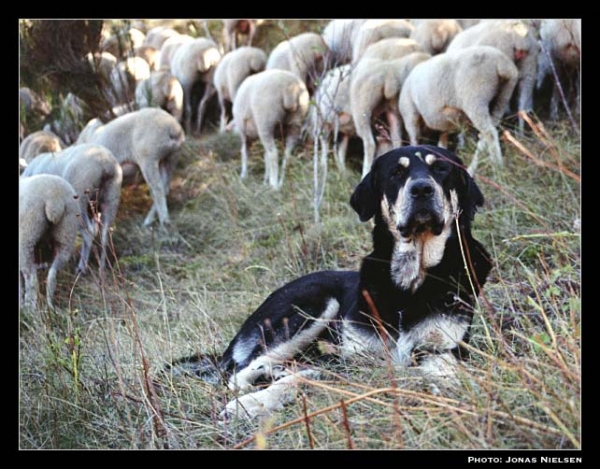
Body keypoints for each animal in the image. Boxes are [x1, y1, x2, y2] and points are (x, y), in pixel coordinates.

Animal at [19, 174, 79, 308]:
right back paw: (50, 306)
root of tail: (54, 196)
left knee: (31, 278)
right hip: (66, 234)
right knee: (53, 274)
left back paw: (29, 308)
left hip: (27, 235)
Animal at [20, 144, 123, 274]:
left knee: (88, 235)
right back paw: (102, 267)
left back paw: (82, 267)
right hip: (111, 198)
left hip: (80, 199)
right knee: (105, 236)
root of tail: (104, 163)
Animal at [170, 145, 492, 416]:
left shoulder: (444, 350)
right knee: (243, 371)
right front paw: (254, 404)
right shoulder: (354, 357)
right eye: (396, 173)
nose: (422, 188)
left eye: (440, 169)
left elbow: (443, 371)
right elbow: (308, 377)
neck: (408, 282)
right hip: (311, 305)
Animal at [398, 45, 520, 174]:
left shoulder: (410, 112)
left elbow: (415, 139)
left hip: (475, 97)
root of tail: (500, 62)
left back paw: (497, 167)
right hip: (502, 96)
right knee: (486, 133)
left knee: (489, 133)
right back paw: (475, 168)